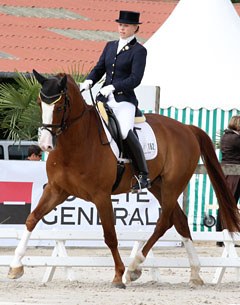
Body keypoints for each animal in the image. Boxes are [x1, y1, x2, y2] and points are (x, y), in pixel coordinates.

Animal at [7, 69, 240, 288]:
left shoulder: (101, 195)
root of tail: (187, 128)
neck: (76, 142)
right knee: (180, 221)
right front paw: (15, 266)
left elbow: (110, 235)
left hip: (173, 185)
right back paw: (195, 273)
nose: (45, 145)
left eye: (60, 106)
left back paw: (134, 267)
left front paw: (118, 275)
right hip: (158, 185)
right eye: (40, 103)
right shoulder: (57, 190)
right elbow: (32, 218)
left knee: (164, 221)